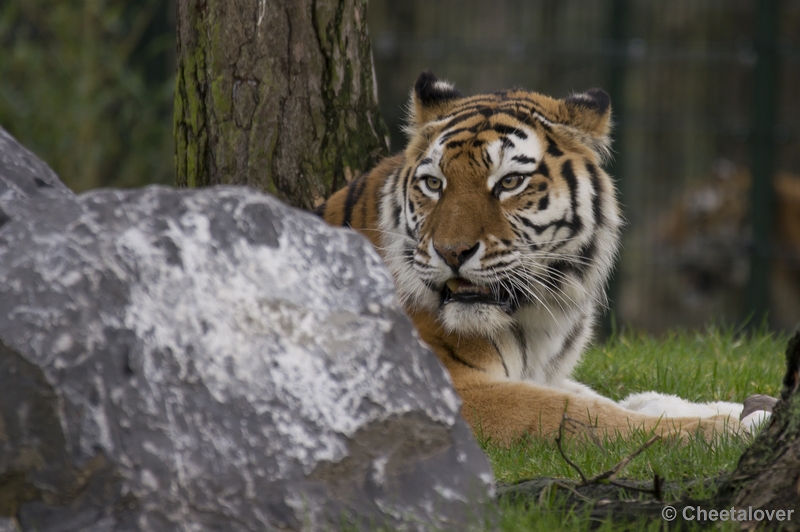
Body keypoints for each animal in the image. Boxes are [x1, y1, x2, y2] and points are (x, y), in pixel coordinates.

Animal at [314, 71, 768, 444]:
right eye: (434, 183)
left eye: (510, 182)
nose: (451, 252)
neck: (535, 317)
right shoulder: (453, 391)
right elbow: (581, 415)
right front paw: (723, 432)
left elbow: (616, 399)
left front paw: (745, 411)